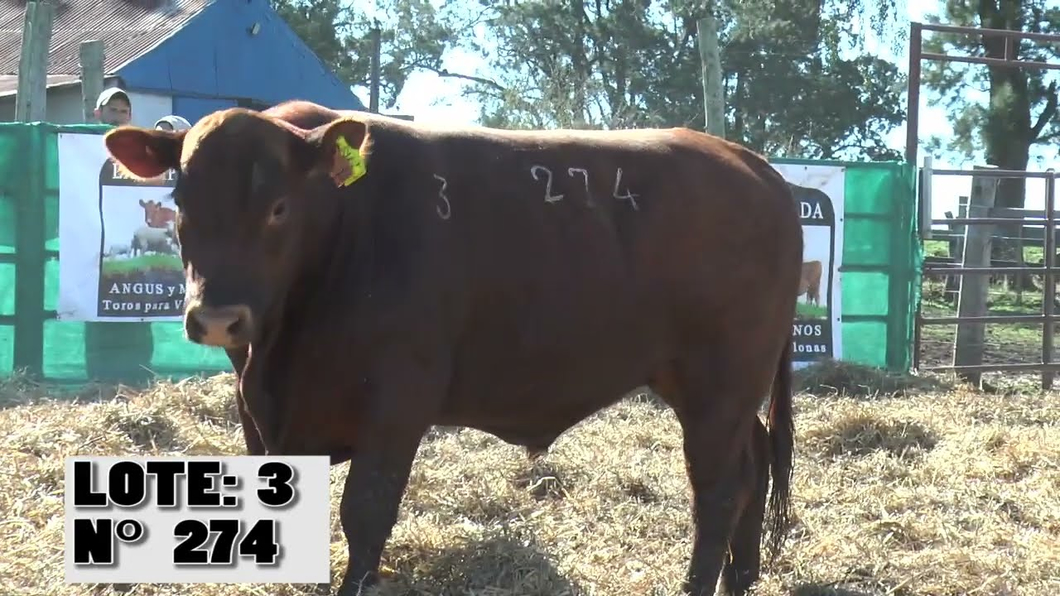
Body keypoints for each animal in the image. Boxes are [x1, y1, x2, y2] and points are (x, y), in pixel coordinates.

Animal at [105, 100, 801, 593]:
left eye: (278, 207)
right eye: (180, 200)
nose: (217, 319)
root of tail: (749, 162)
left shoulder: (397, 398)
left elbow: (366, 511)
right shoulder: (255, 404)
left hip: (720, 384)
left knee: (719, 491)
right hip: (720, 390)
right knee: (754, 464)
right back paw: (741, 579)